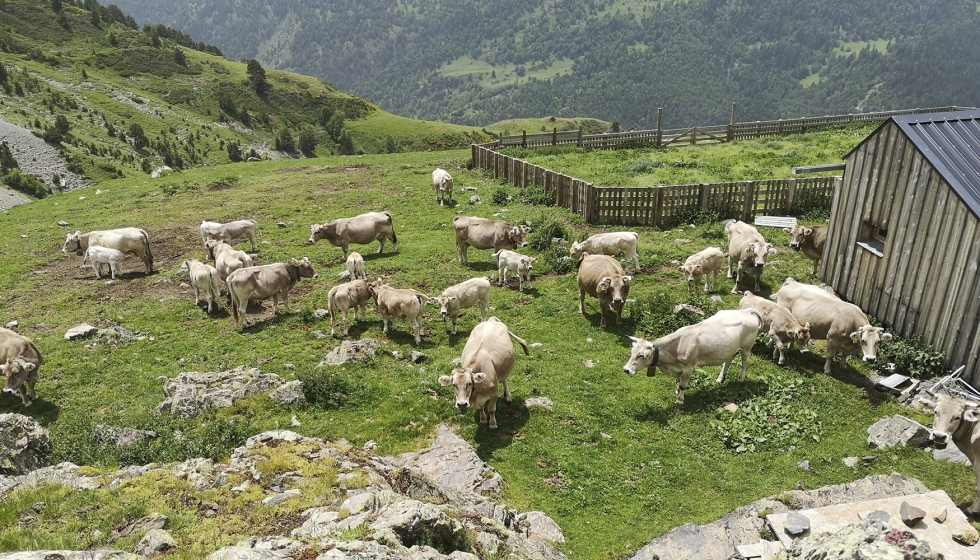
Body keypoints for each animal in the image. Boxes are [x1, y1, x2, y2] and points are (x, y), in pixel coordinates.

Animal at [623, 309, 763, 405]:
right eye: (632, 352)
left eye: (641, 355)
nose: (626, 369)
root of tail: (746, 311)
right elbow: (678, 382)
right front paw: (677, 392)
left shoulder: (689, 368)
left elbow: (683, 385)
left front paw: (679, 400)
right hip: (729, 349)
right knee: (727, 362)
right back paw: (720, 379)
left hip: (746, 347)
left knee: (745, 362)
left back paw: (741, 378)